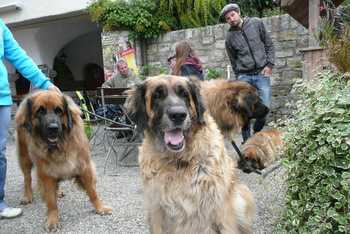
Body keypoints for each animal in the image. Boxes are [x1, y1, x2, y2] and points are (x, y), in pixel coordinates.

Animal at [13, 90, 111, 231]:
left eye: (59, 110)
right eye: (39, 111)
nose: (53, 128)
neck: (60, 146)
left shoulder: (84, 166)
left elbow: (92, 192)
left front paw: (100, 207)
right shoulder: (45, 174)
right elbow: (51, 201)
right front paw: (53, 220)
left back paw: (58, 191)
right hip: (24, 156)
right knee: (27, 177)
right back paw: (27, 195)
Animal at [125, 75, 254, 234]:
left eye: (184, 94)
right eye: (157, 95)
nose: (178, 115)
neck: (178, 161)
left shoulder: (222, 209)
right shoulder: (156, 210)